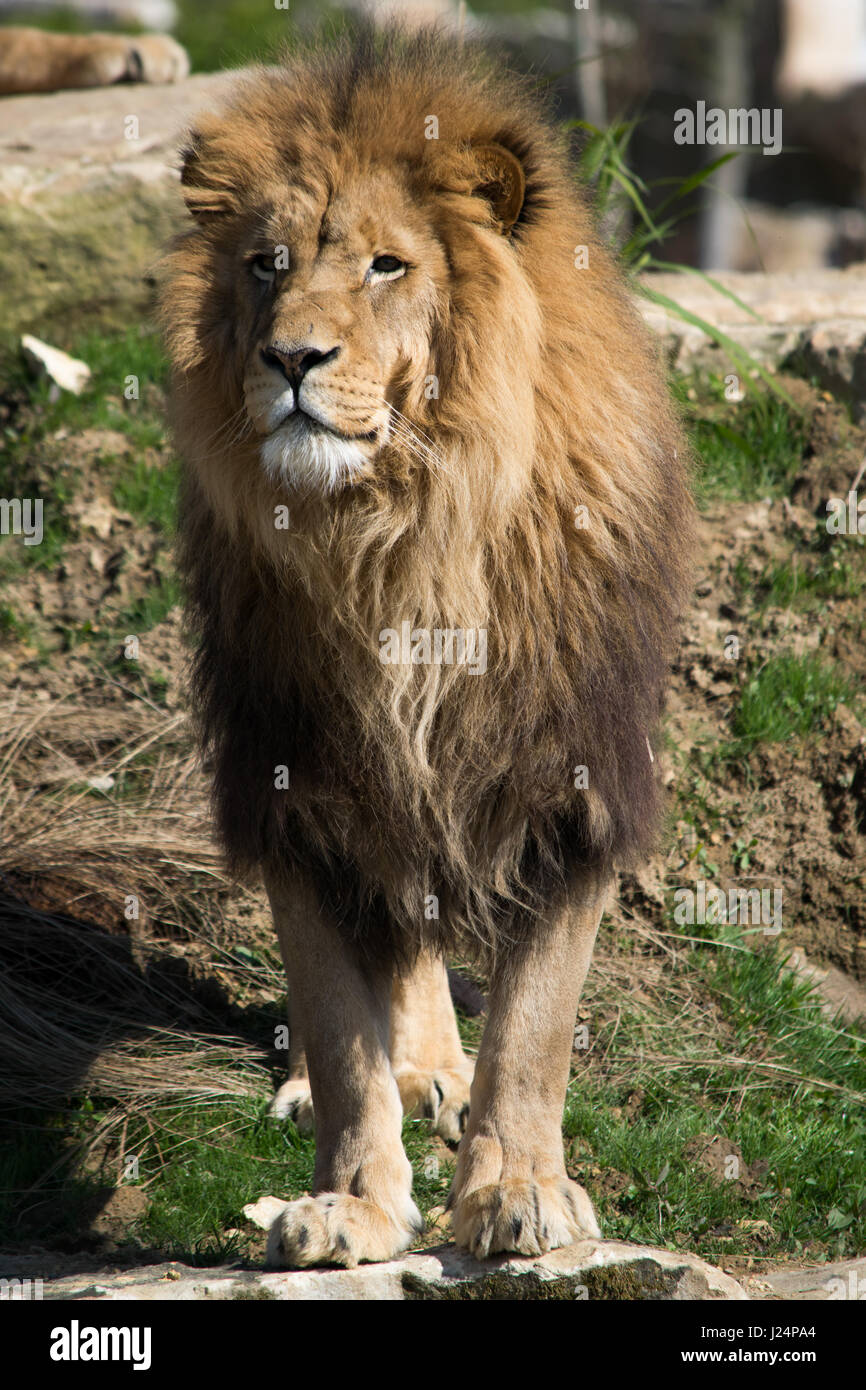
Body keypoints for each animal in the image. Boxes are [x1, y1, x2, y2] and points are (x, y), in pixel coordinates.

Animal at [160, 24, 694, 1268]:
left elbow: (535, 1024)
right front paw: (350, 1199)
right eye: (263, 264)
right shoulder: (295, 775)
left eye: (386, 267)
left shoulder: (567, 774)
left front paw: (519, 1189)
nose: (290, 359)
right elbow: (337, 1017)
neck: (398, 533)